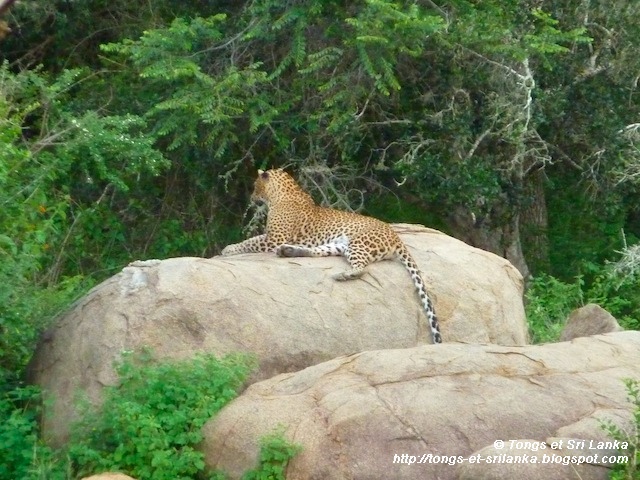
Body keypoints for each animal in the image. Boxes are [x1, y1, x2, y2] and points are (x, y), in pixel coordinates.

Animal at [220, 167, 440, 344]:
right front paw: (229, 248)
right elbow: (252, 239)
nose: (252, 198)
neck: (282, 194)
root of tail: (396, 236)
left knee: (362, 269)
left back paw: (342, 275)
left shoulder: (274, 238)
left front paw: (228, 249)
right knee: (319, 252)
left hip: (357, 243)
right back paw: (289, 251)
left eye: (255, 186)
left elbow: (250, 241)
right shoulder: (274, 238)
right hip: (338, 245)